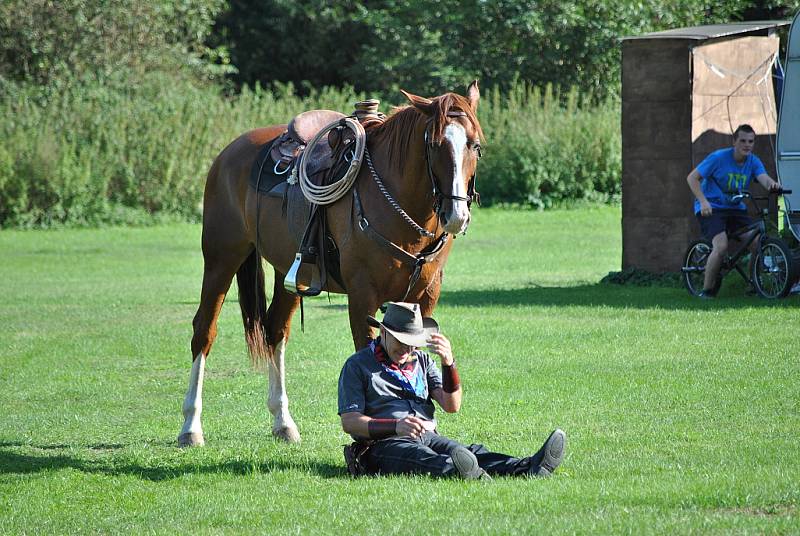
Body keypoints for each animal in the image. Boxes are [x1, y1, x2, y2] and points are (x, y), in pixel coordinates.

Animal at [180, 81, 482, 446]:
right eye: (436, 145)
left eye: (475, 145)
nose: (457, 215)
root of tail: (227, 154)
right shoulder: (362, 296)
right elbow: (368, 356)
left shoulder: (425, 295)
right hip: (221, 257)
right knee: (204, 332)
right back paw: (190, 427)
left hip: (289, 273)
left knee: (275, 331)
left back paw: (283, 422)